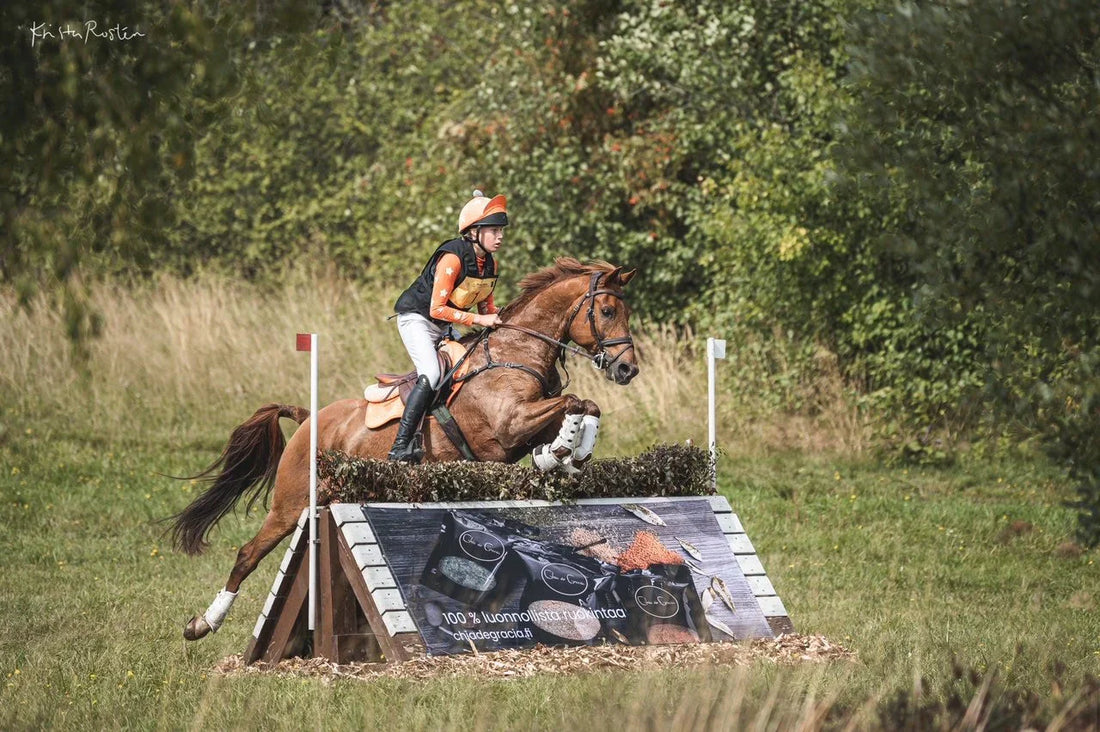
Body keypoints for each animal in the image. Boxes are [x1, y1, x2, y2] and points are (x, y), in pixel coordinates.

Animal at [170, 258, 639, 641]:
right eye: (608, 311)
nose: (627, 369)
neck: (515, 351)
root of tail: (307, 419)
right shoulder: (509, 426)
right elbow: (573, 401)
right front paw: (565, 452)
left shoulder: (524, 430)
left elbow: (584, 406)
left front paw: (569, 454)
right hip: (291, 503)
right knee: (248, 554)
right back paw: (202, 624)